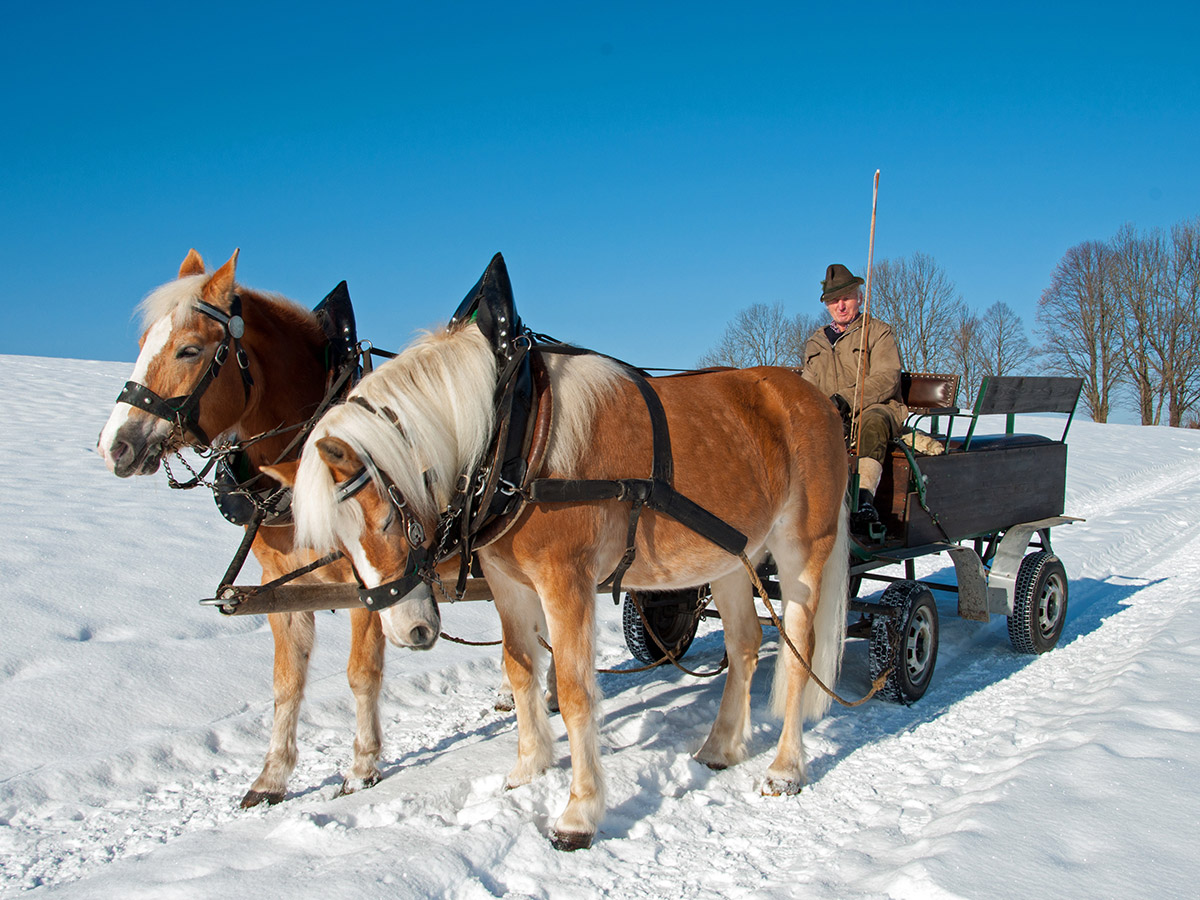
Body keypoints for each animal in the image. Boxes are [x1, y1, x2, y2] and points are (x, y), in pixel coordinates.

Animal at [97, 252, 436, 811]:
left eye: (189, 349)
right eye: (142, 342)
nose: (115, 445)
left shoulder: (375, 584)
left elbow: (361, 673)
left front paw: (362, 768)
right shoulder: (281, 588)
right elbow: (286, 682)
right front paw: (272, 776)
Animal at [288, 255, 854, 854]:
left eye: (387, 519)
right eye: (337, 542)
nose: (407, 630)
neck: (513, 428)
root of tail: (816, 400)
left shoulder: (567, 580)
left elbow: (575, 690)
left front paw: (579, 813)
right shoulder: (508, 583)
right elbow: (520, 669)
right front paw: (528, 768)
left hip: (802, 551)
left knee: (797, 651)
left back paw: (785, 769)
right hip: (728, 557)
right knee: (744, 646)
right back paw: (720, 747)